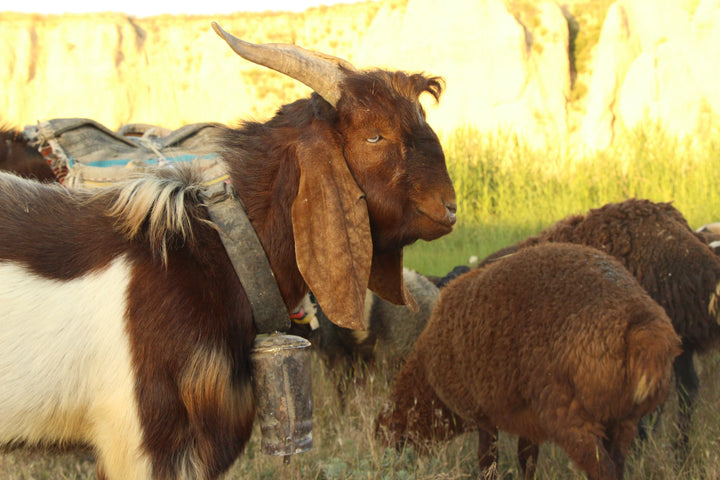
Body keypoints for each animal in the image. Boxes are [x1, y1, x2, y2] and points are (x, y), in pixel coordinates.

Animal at [376, 244, 680, 480]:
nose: (385, 468)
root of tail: (642, 325)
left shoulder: (482, 411)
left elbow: (487, 462)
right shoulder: (528, 421)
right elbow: (528, 459)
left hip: (568, 412)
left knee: (602, 469)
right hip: (624, 418)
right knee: (617, 466)